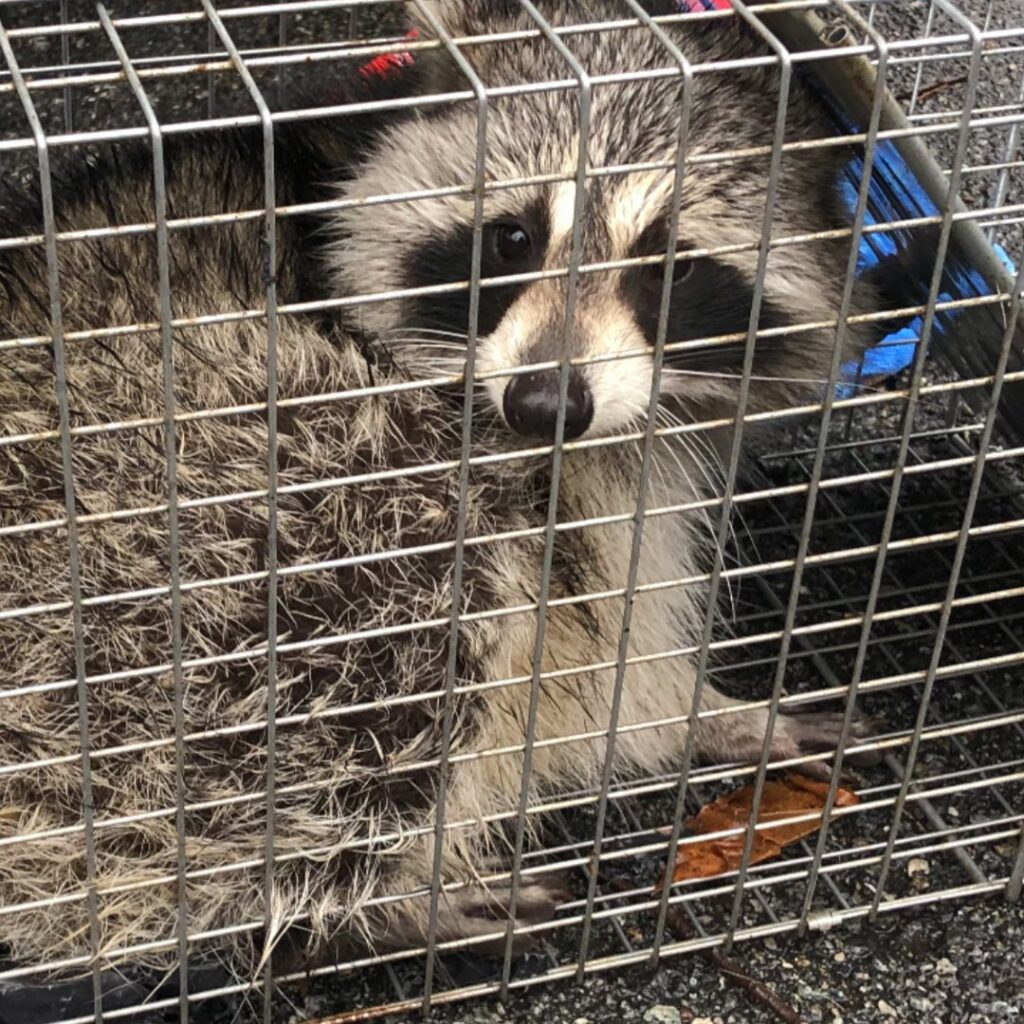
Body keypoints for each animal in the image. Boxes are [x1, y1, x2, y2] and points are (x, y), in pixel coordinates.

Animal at [0, 0, 910, 994]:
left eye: (668, 265)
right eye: (514, 238)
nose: (544, 402)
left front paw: (698, 712)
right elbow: (601, 628)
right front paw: (685, 712)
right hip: (175, 505)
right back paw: (365, 908)